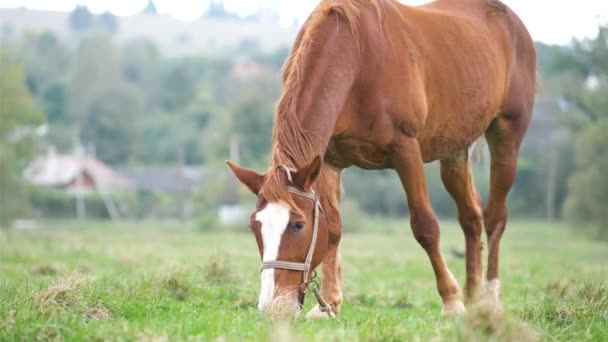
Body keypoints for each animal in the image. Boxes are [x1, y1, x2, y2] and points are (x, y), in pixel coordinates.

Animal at [228, 0, 536, 316]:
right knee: (471, 217)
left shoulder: (406, 151)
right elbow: (334, 228)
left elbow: (426, 227)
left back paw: (490, 296)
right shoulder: (327, 162)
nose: (272, 307)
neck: (358, 59)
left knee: (495, 217)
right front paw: (329, 304)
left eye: (297, 225)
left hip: (506, 138)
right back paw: (473, 298)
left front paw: (451, 300)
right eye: (254, 226)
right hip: (455, 151)